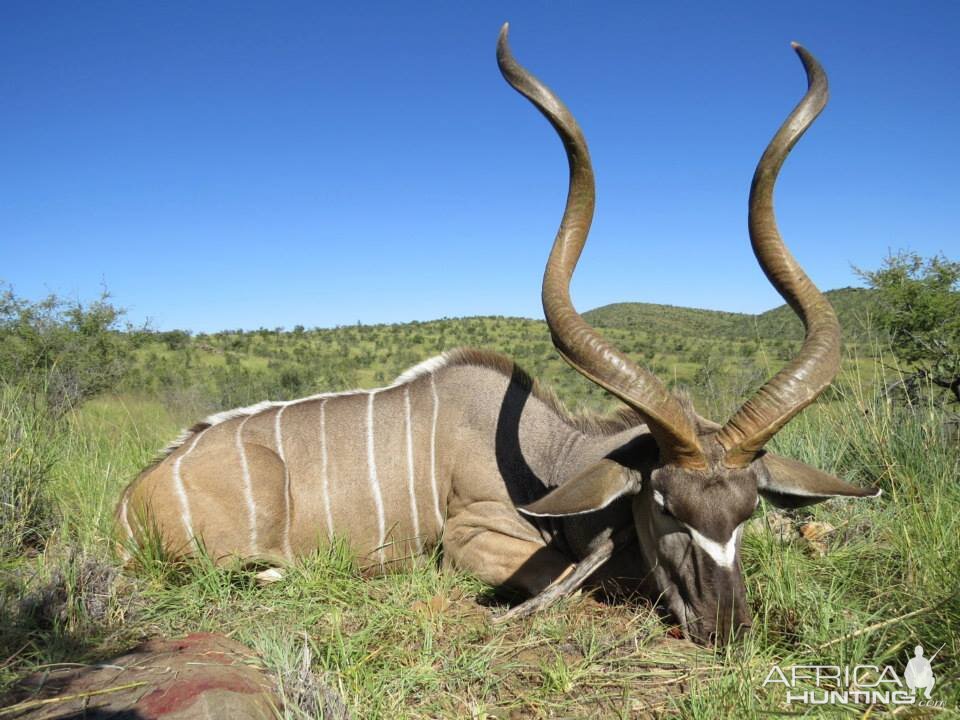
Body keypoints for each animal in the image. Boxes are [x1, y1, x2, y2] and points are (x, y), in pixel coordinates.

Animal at [116, 25, 880, 644]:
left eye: (747, 511)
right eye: (664, 505)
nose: (727, 626)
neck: (551, 457)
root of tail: (132, 496)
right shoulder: (471, 538)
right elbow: (575, 579)